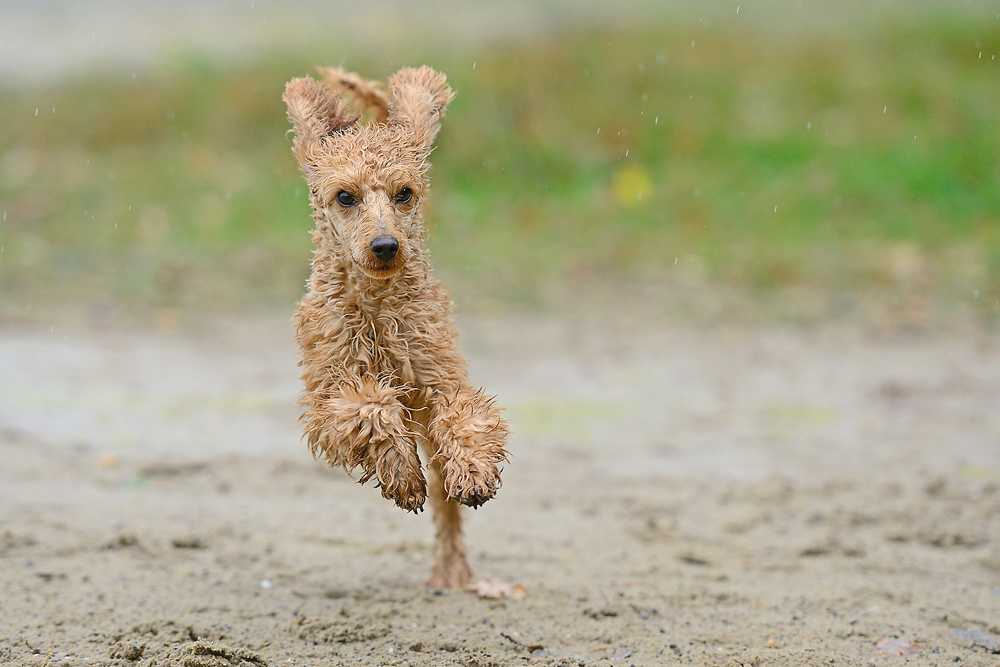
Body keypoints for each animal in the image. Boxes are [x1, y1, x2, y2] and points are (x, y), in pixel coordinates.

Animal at [286, 66, 512, 588]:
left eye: (404, 193)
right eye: (345, 197)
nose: (386, 246)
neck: (377, 310)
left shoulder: (441, 378)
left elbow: (465, 418)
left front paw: (473, 471)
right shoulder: (325, 402)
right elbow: (371, 407)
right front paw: (403, 477)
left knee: (447, 506)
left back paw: (453, 570)